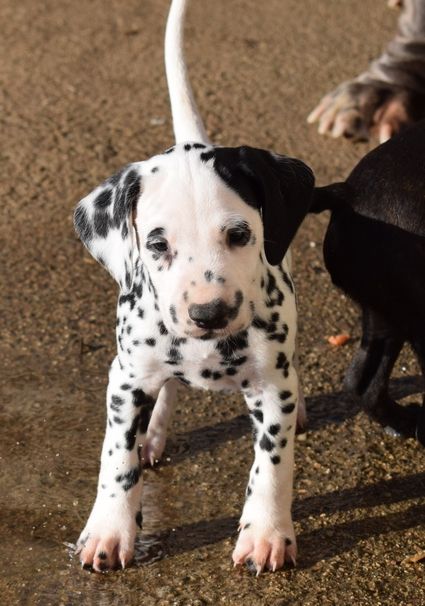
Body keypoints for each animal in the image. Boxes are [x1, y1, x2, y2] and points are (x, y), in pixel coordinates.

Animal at [74, 0, 314, 574]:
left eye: (240, 235)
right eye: (157, 244)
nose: (209, 313)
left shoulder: (270, 386)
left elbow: (271, 464)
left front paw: (266, 533)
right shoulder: (125, 379)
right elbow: (116, 460)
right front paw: (109, 529)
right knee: (166, 392)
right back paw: (155, 433)